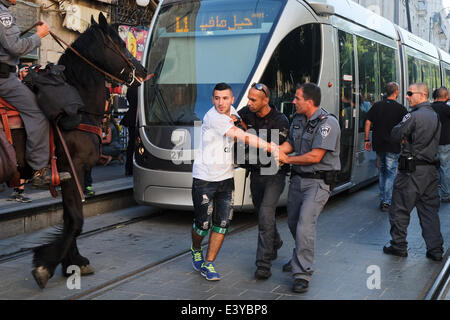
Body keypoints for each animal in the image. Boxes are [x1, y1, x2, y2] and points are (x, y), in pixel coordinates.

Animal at [23, 12, 147, 288]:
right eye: (120, 44)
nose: (143, 71)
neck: (80, 107)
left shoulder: (67, 173)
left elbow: (70, 218)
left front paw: (73, 261)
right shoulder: (74, 168)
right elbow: (76, 220)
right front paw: (46, 264)